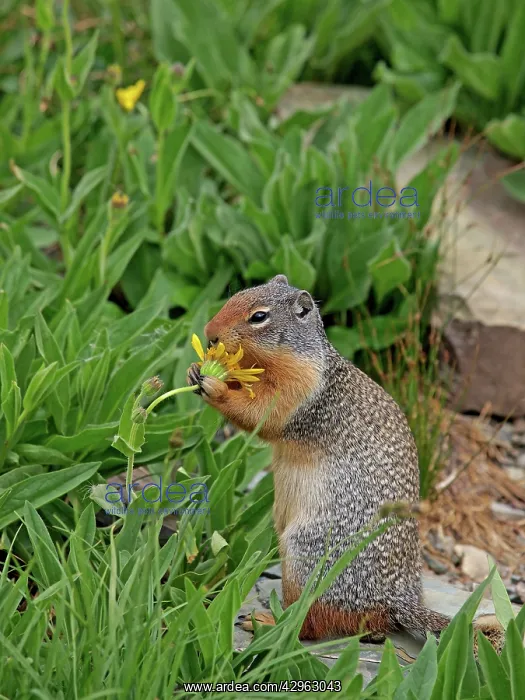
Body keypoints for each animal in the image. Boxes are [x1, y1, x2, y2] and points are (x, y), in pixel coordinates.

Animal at [187, 274, 502, 645]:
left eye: (259, 317)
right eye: (237, 294)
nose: (209, 331)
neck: (299, 357)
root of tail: (397, 599)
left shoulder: (300, 390)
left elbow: (262, 413)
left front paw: (216, 386)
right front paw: (197, 368)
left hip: (306, 554)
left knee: (311, 623)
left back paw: (268, 622)